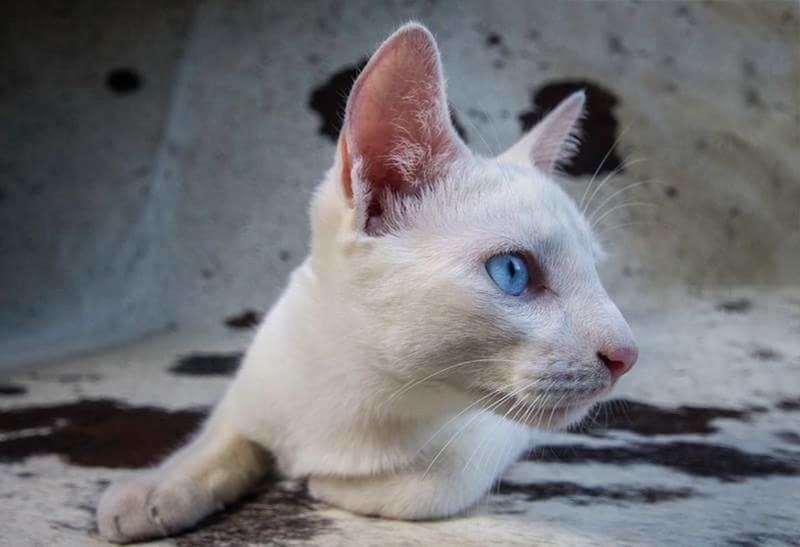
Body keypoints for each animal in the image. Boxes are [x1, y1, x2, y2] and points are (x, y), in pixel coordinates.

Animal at [97, 22, 636, 544]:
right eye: (513, 272)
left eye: (595, 271)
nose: (626, 355)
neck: (358, 385)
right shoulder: (256, 383)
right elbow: (222, 438)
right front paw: (155, 488)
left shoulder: (482, 441)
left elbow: (414, 487)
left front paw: (318, 479)